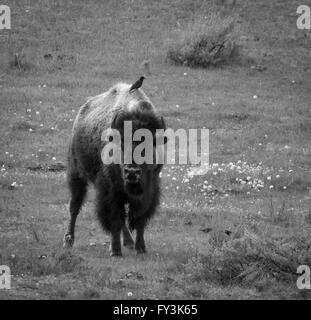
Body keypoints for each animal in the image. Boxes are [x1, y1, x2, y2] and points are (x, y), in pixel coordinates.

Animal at [61, 79, 167, 256]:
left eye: (150, 144)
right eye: (122, 143)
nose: (132, 172)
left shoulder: (149, 189)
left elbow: (139, 219)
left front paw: (141, 248)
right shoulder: (110, 190)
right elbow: (114, 219)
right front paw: (115, 251)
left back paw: (129, 242)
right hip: (75, 173)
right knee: (74, 207)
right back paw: (68, 241)